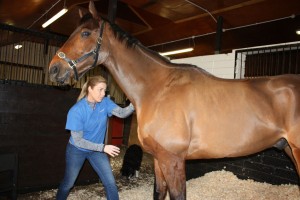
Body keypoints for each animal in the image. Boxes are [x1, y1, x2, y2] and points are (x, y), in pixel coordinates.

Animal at [49, 0, 300, 199]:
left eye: (85, 33)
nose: (54, 69)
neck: (159, 89)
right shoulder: (159, 159)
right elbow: (159, 193)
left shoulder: (173, 159)